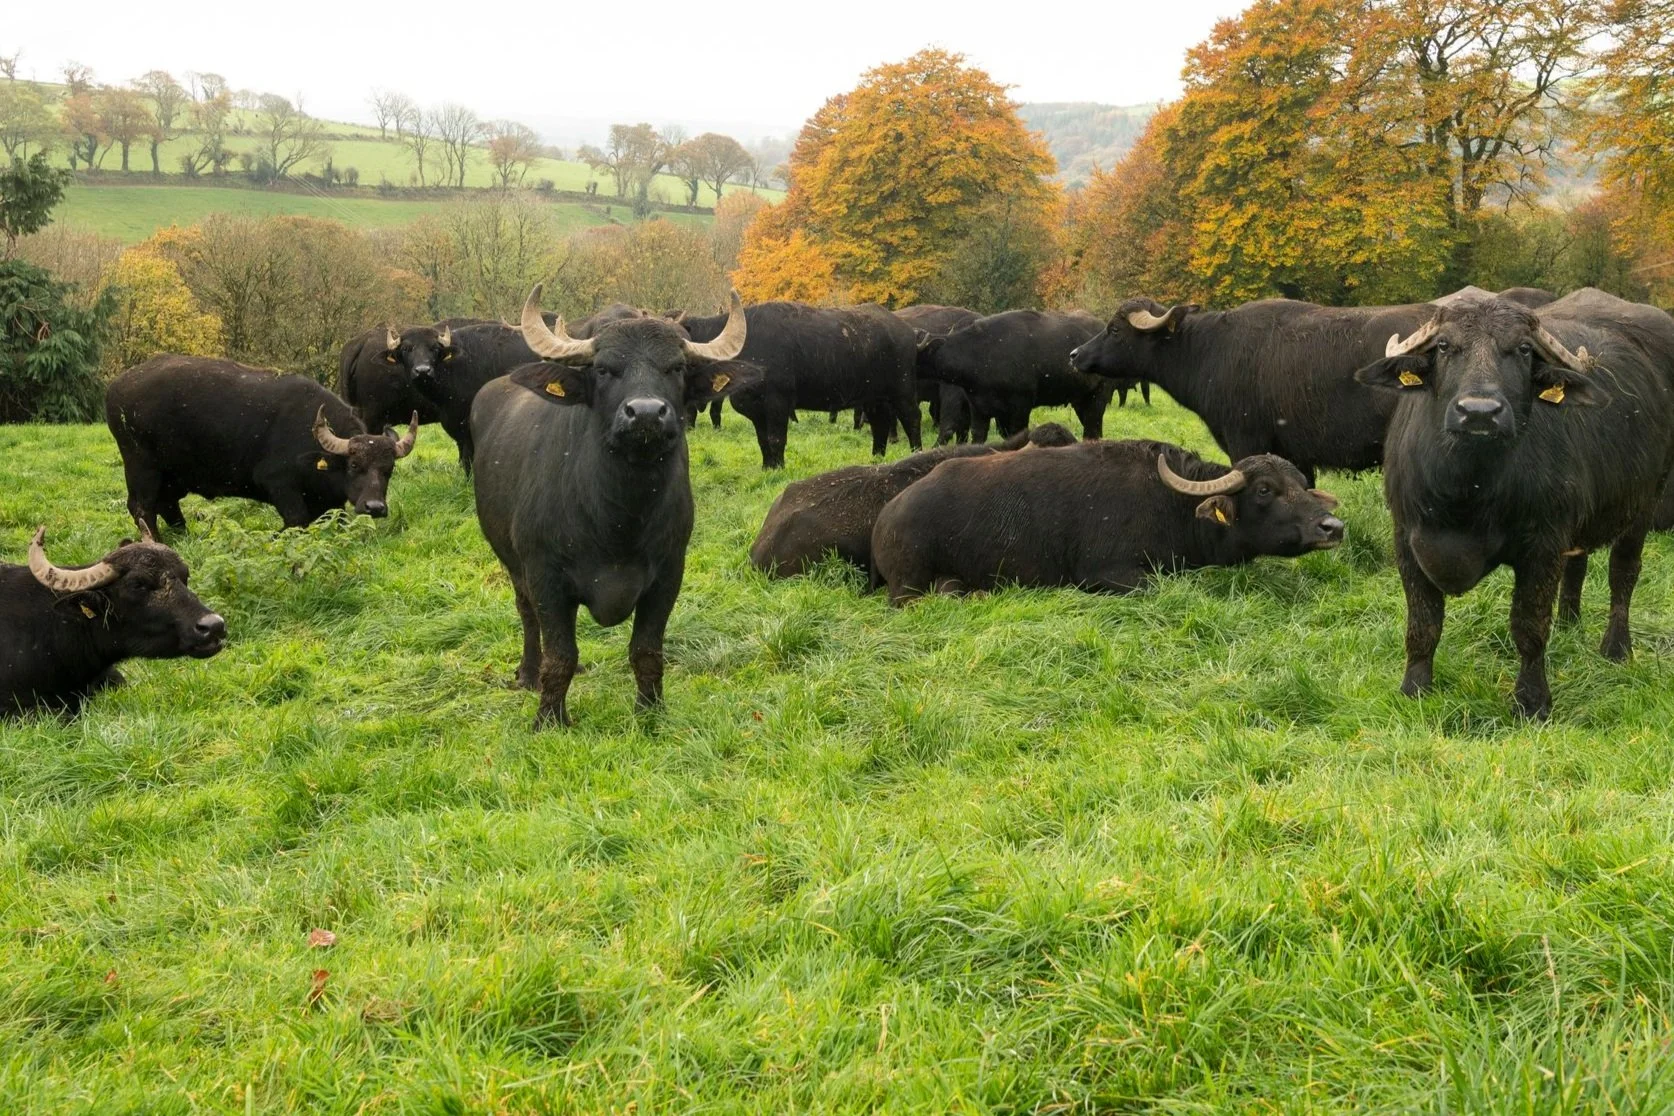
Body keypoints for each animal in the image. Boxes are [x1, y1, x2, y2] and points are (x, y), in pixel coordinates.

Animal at [107, 356, 417, 533]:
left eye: (389, 469)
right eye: (354, 465)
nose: (375, 507)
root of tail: (116, 387)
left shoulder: (330, 502)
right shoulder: (279, 484)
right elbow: (296, 520)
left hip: (174, 475)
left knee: (167, 504)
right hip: (141, 466)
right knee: (142, 508)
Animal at [471, 287, 750, 728]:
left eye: (675, 367)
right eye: (603, 370)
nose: (647, 413)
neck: (619, 519)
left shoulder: (668, 575)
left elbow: (646, 651)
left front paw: (650, 710)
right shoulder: (545, 576)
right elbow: (561, 655)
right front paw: (549, 719)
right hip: (511, 562)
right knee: (527, 615)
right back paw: (528, 673)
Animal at [872, 439, 1343, 605]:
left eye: (1302, 484)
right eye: (1264, 489)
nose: (1333, 528)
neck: (1171, 505)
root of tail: (887, 515)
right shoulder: (1105, 573)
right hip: (910, 585)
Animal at [1355, 289, 1674, 718]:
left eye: (1523, 349)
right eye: (1444, 345)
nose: (1479, 413)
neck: (1467, 491)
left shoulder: (1542, 546)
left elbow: (1529, 627)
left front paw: (1532, 701)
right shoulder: (1406, 538)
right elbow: (1422, 624)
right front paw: (1414, 688)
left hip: (1644, 503)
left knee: (1623, 574)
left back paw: (1616, 647)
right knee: (1578, 564)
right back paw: (1570, 623)